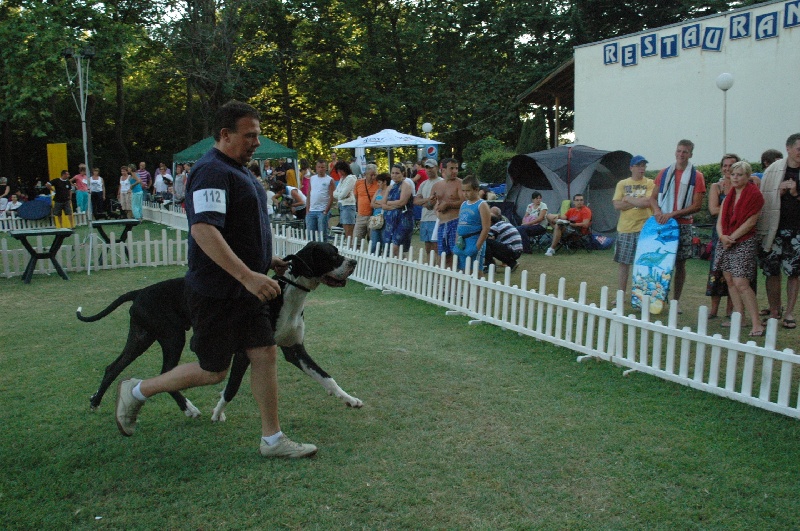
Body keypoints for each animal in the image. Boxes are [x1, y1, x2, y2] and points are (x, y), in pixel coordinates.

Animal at [76, 241, 360, 420]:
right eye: (331, 255)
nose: (354, 261)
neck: (287, 293)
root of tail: (139, 292)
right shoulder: (246, 352)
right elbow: (232, 387)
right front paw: (218, 412)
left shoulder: (294, 349)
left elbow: (326, 377)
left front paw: (349, 398)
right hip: (172, 337)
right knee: (164, 372)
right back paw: (187, 407)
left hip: (141, 336)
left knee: (114, 367)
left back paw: (96, 401)